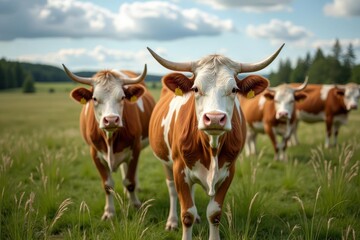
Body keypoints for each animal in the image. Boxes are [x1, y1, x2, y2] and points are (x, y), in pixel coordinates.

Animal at [62, 63, 155, 219]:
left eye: (122, 97)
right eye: (94, 98)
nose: (111, 120)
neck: (110, 138)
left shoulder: (135, 149)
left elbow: (130, 181)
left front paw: (136, 205)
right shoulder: (95, 154)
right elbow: (107, 185)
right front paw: (109, 212)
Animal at [146, 44, 284, 239]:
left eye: (234, 89)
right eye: (196, 89)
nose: (214, 118)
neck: (211, 147)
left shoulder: (228, 172)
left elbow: (214, 213)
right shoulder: (179, 169)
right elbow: (187, 213)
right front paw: (183, 221)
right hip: (167, 163)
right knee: (172, 190)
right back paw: (172, 221)